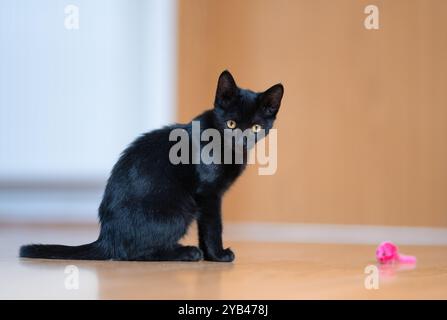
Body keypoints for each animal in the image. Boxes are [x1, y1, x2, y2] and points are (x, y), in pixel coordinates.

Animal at [20, 71, 284, 262]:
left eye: (256, 127)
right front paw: (218, 256)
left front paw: (212, 258)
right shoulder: (208, 195)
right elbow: (212, 228)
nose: (242, 140)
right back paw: (186, 252)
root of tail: (107, 236)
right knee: (130, 253)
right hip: (181, 208)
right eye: (230, 123)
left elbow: (206, 229)